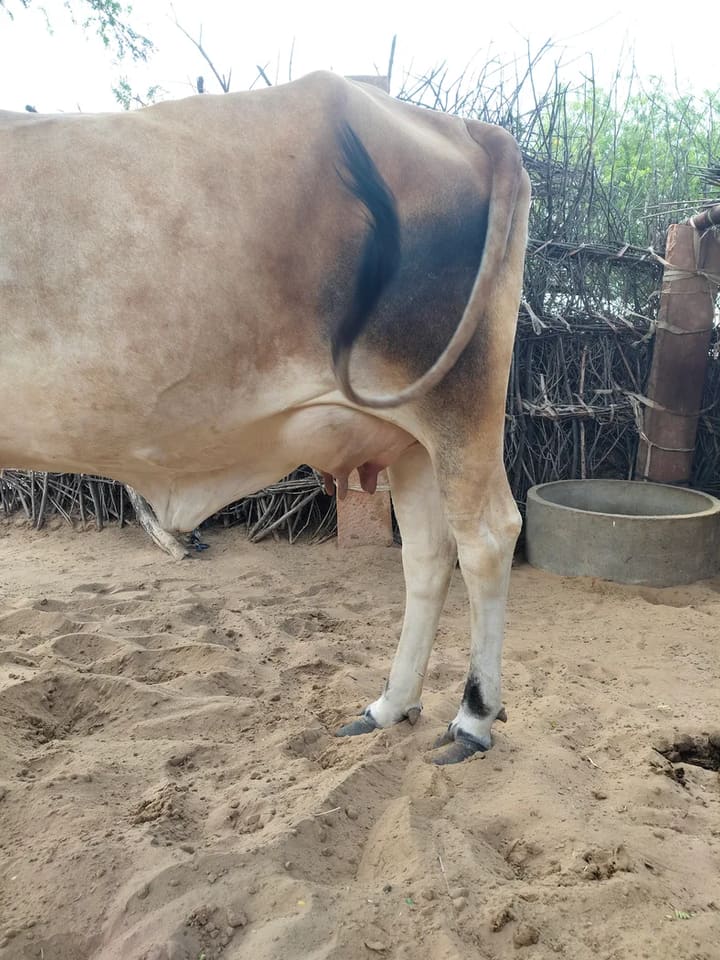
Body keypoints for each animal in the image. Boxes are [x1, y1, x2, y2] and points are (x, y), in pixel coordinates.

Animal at [0, 71, 531, 763]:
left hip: (456, 406)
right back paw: (389, 705)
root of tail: (471, 128)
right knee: (429, 553)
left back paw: (472, 717)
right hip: (410, 437)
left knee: (487, 538)